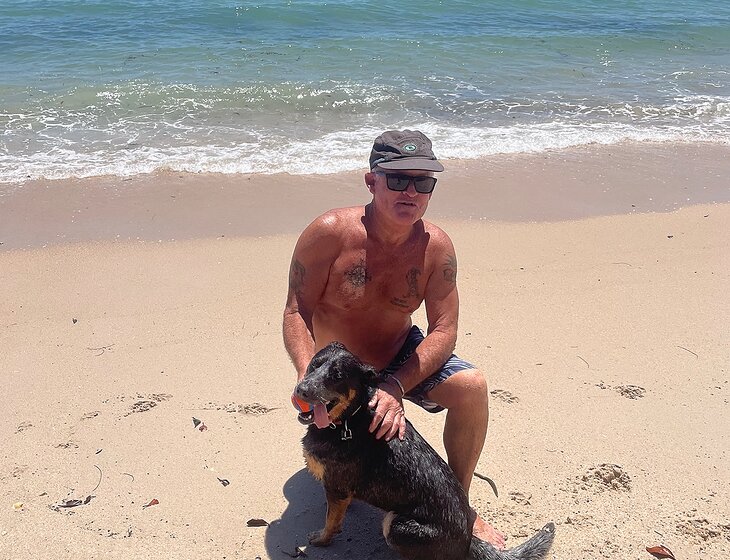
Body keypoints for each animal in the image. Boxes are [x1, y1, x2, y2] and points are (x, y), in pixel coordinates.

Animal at [294, 341, 555, 560]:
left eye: (337, 376)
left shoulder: (336, 489)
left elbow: (331, 522)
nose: (301, 390)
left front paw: (321, 540)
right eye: (313, 365)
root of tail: (468, 541)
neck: (349, 419)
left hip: (394, 524)